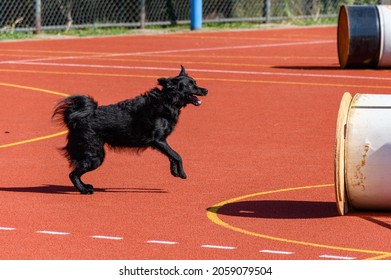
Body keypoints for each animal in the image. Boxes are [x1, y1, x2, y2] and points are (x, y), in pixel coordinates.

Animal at [54, 65, 211, 195]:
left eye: (195, 82)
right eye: (190, 85)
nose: (206, 90)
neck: (167, 101)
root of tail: (76, 119)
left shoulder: (162, 142)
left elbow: (172, 156)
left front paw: (174, 171)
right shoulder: (158, 140)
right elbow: (177, 155)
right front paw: (182, 173)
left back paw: (86, 186)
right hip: (95, 156)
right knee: (73, 174)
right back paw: (84, 190)